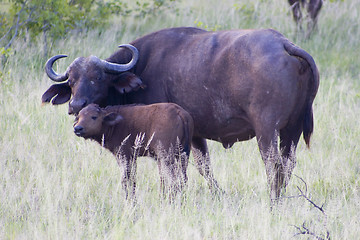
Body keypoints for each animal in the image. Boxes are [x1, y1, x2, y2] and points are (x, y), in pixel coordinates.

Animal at [43, 27, 320, 202]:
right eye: (71, 81)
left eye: (98, 77)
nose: (76, 105)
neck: (142, 67)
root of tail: (284, 44)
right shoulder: (194, 134)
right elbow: (202, 166)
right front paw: (216, 194)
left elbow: (169, 171)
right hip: (292, 129)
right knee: (288, 163)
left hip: (267, 128)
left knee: (273, 163)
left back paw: (272, 199)